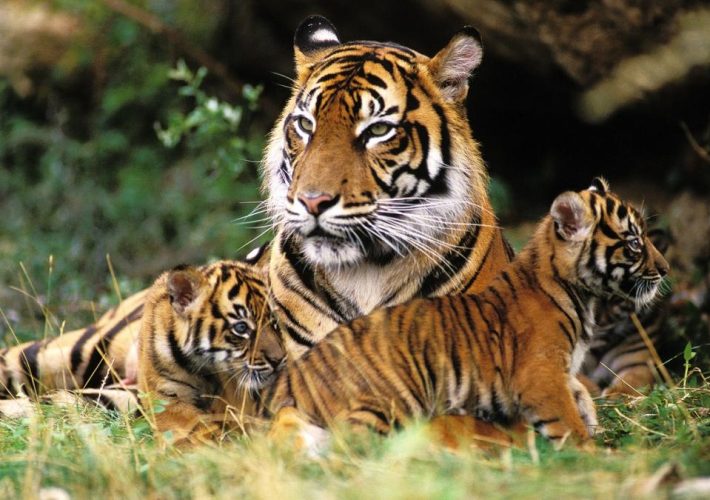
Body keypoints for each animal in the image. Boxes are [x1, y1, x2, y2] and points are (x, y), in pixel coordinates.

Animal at [137, 260, 285, 444]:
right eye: (241, 328)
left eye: (274, 322)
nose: (279, 360)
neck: (200, 367)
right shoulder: (164, 394)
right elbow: (191, 423)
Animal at [264, 179, 669, 450]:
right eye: (634, 243)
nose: (665, 269)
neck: (581, 295)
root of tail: (293, 381)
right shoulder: (540, 375)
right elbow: (566, 420)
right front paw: (588, 452)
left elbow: (579, 396)